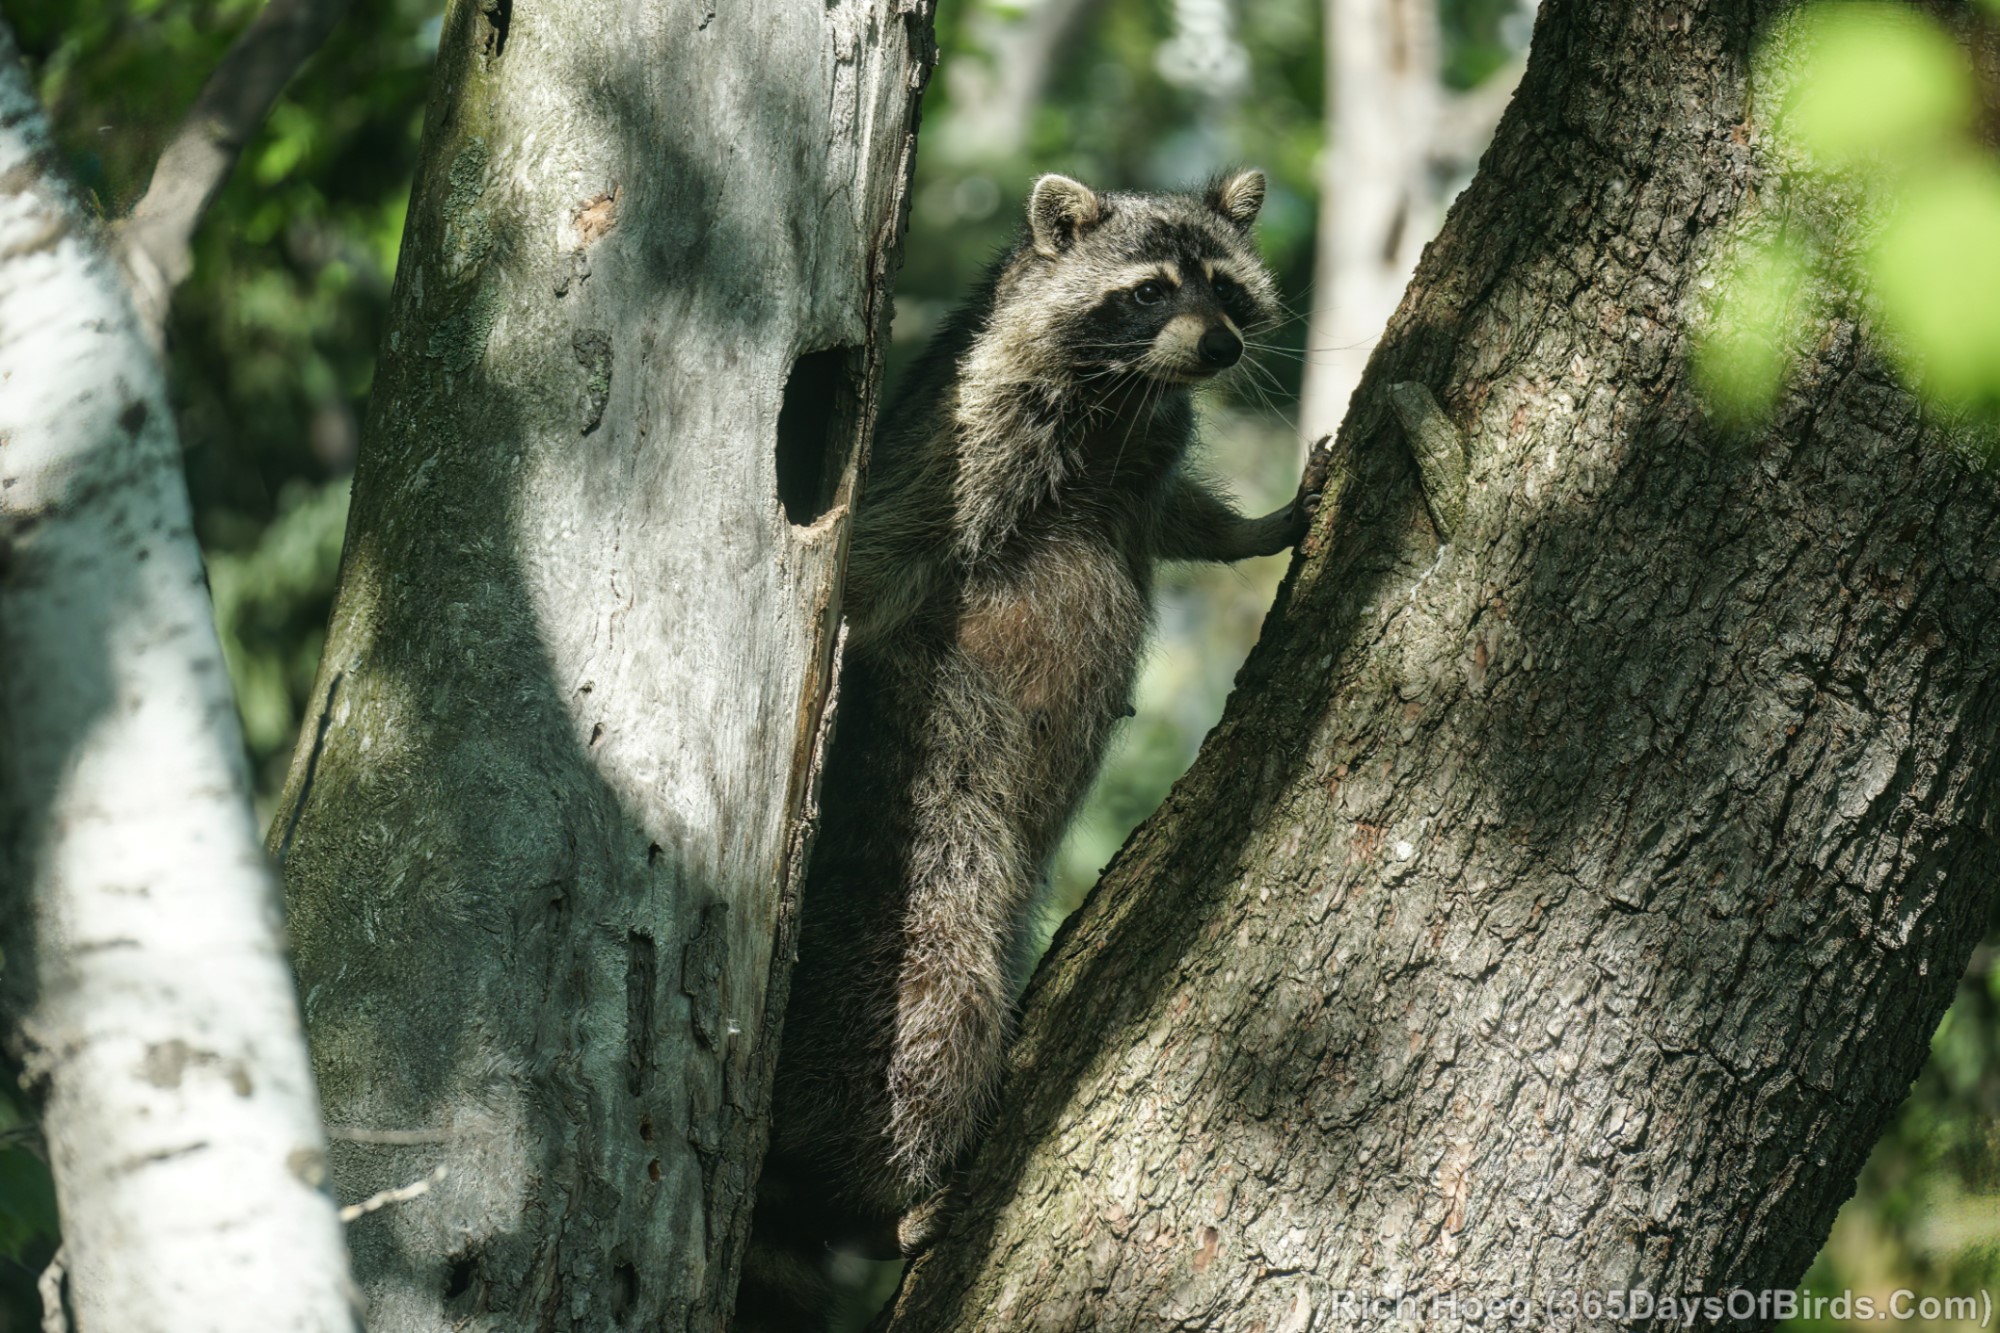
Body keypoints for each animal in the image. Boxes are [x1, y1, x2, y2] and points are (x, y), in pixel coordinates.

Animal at [736, 171, 1328, 1320]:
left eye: (1226, 287)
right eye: (1150, 290)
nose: (1221, 348)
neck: (1123, 390)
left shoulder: (1146, 455)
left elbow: (1181, 521)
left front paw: (1264, 524)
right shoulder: (968, 422)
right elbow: (874, 555)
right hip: (931, 842)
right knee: (940, 998)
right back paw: (881, 1203)